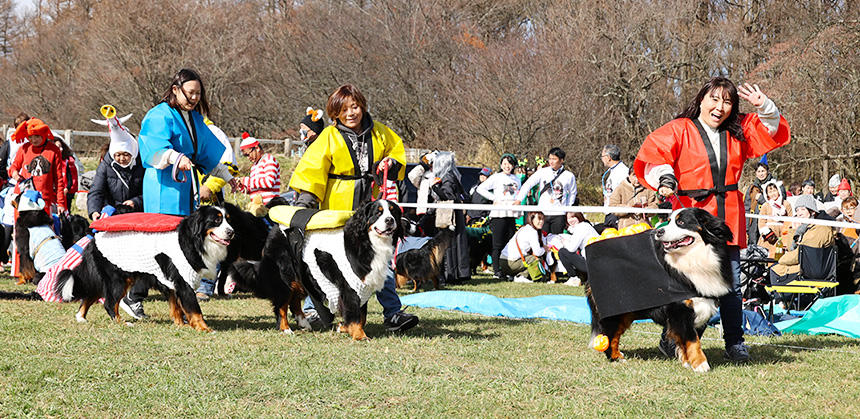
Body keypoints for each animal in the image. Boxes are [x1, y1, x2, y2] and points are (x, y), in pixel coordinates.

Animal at [55, 206, 233, 332]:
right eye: (216, 221)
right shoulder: (184, 281)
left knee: (90, 295)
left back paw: (81, 317)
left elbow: (176, 307)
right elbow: (195, 310)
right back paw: (122, 323)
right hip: (118, 280)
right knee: (110, 303)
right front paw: (204, 328)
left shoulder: (171, 283)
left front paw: (180, 324)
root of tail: (94, 238)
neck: (195, 240)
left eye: (228, 220)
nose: (231, 232)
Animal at [227, 200, 404, 342]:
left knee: (294, 301)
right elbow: (355, 314)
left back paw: (303, 322)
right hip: (285, 277)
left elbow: (362, 315)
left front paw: (343, 327)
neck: (368, 242)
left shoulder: (363, 286)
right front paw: (360, 336)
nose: (389, 220)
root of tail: (275, 228)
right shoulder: (351, 287)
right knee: (282, 306)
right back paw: (285, 328)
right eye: (377, 213)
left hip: (302, 276)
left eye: (393, 212)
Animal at [588, 209, 736, 374]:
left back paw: (618, 356)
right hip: (615, 308)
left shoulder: (700, 307)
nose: (659, 232)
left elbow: (686, 340)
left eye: (681, 222)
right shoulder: (680, 309)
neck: (693, 259)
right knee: (609, 335)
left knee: (614, 335)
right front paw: (700, 364)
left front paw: (687, 362)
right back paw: (615, 358)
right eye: (668, 221)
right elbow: (693, 340)